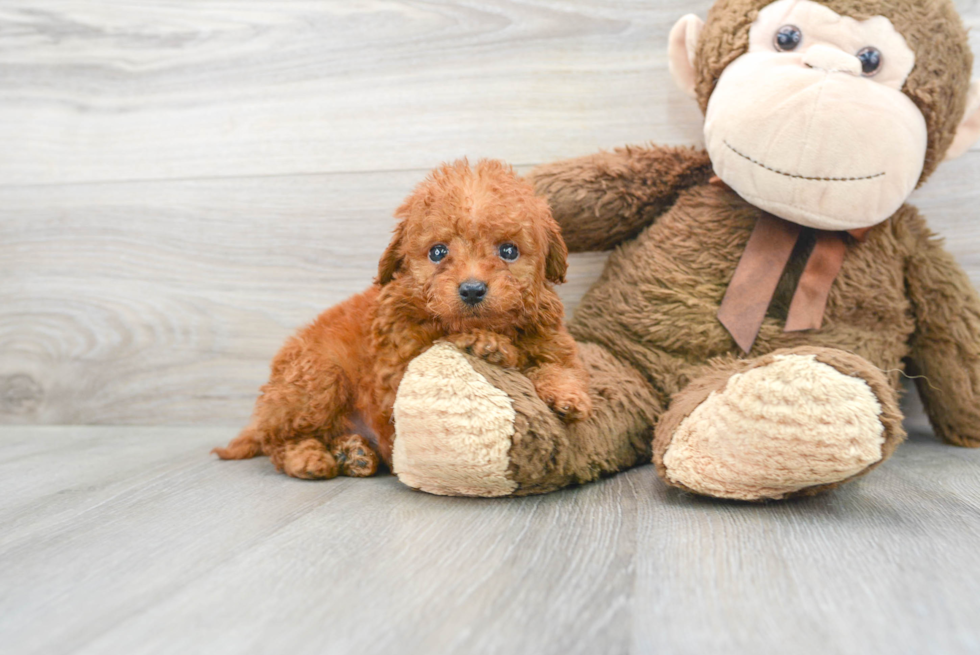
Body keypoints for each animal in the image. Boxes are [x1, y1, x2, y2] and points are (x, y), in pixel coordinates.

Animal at [213, 160, 588, 482]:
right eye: (438, 252)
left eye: (508, 251)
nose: (471, 289)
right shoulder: (396, 365)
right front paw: (487, 344)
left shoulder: (551, 339)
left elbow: (558, 365)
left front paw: (567, 393)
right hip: (317, 379)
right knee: (279, 442)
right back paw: (308, 457)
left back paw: (353, 454)